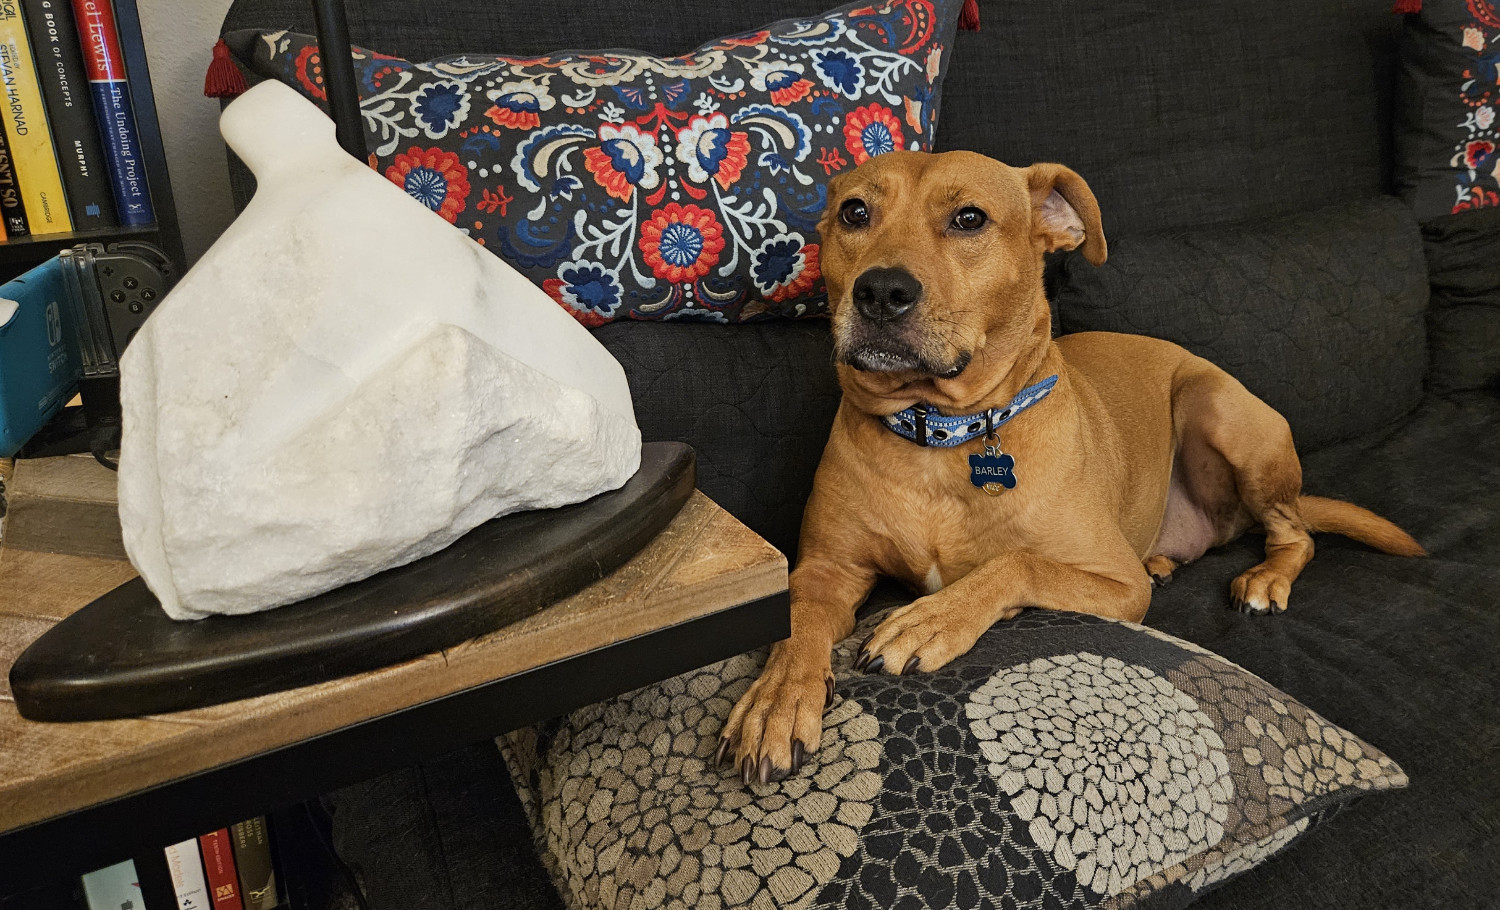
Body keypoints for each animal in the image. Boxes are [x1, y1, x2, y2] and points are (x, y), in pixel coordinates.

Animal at [720, 151, 1422, 791]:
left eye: (969, 218)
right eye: (854, 213)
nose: (880, 291)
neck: (939, 436)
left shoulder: (1116, 584)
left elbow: (1017, 563)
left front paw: (930, 618)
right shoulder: (826, 569)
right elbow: (798, 627)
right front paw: (776, 702)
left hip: (1220, 411)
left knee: (1294, 533)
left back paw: (1265, 578)